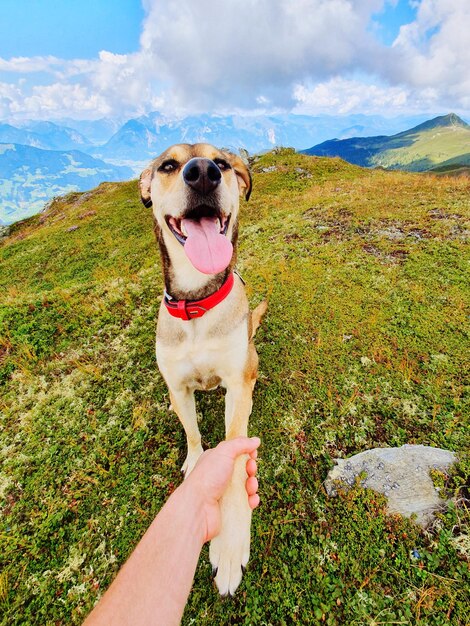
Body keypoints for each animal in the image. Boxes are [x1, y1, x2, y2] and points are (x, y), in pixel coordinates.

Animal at [138, 143, 266, 596]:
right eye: (168, 166)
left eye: (223, 163)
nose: (203, 173)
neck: (197, 303)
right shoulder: (177, 386)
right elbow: (192, 431)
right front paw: (195, 463)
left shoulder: (237, 385)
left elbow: (233, 456)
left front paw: (229, 546)